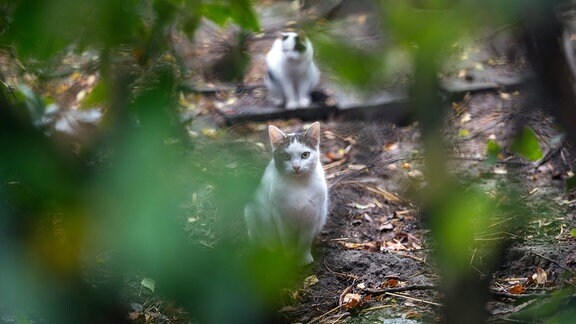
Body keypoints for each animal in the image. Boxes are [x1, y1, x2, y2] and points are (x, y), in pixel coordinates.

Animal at [244, 121, 328, 266]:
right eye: (286, 156)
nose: (296, 167)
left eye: (305, 155)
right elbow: (287, 240)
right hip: (251, 212)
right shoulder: (281, 217)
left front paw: (304, 258)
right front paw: (288, 258)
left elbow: (305, 241)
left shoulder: (312, 216)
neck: (298, 185)